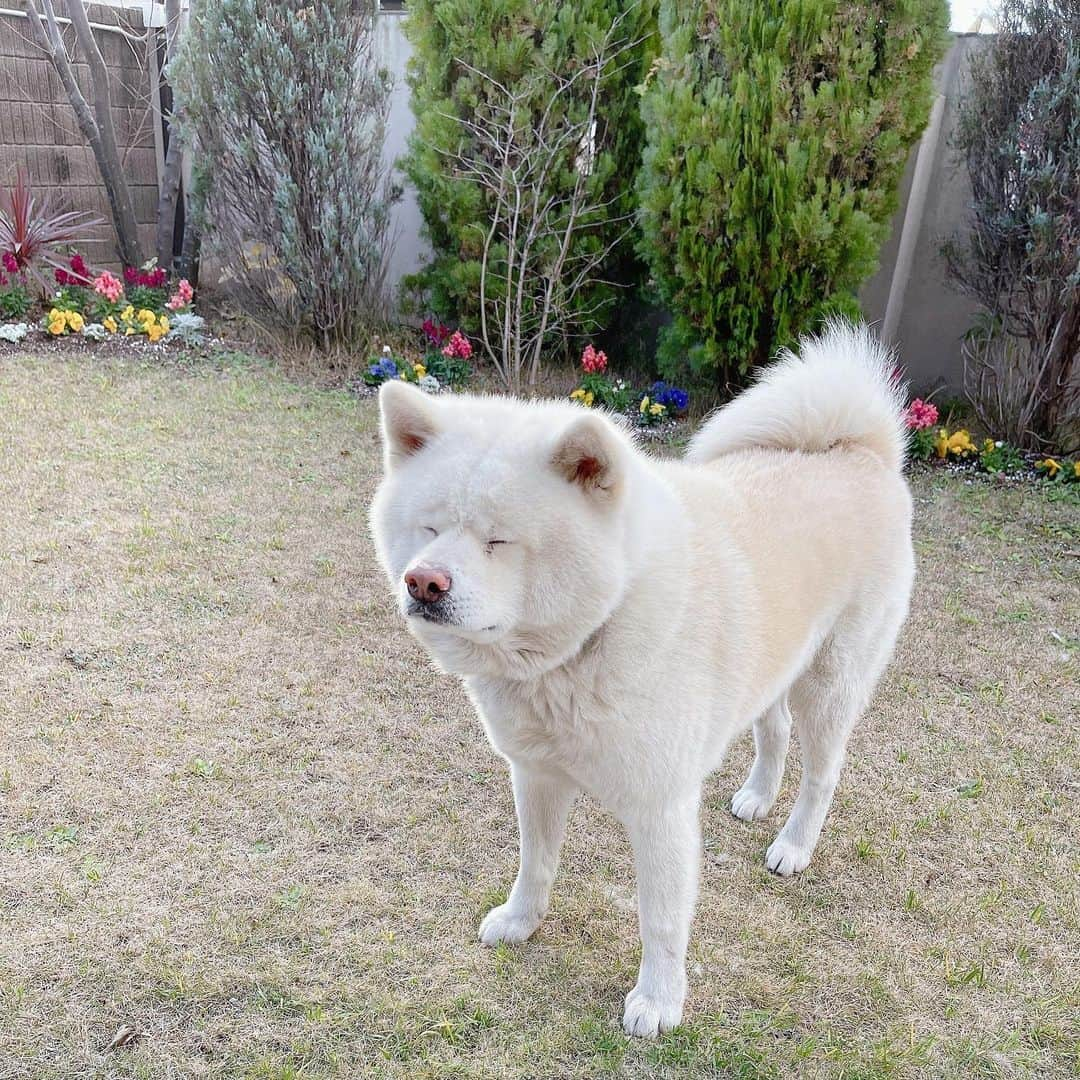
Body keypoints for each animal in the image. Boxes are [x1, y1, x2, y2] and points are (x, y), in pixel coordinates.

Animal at [369, 319, 911, 1036]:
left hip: (829, 684)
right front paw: (521, 922)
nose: (423, 582)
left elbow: (661, 919)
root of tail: (859, 449)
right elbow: (536, 863)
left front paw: (658, 1001)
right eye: (429, 526)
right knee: (773, 730)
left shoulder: (659, 808)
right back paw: (757, 796)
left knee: (821, 775)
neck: (586, 640)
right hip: (773, 667)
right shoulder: (537, 775)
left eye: (498, 541)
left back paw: (793, 845)